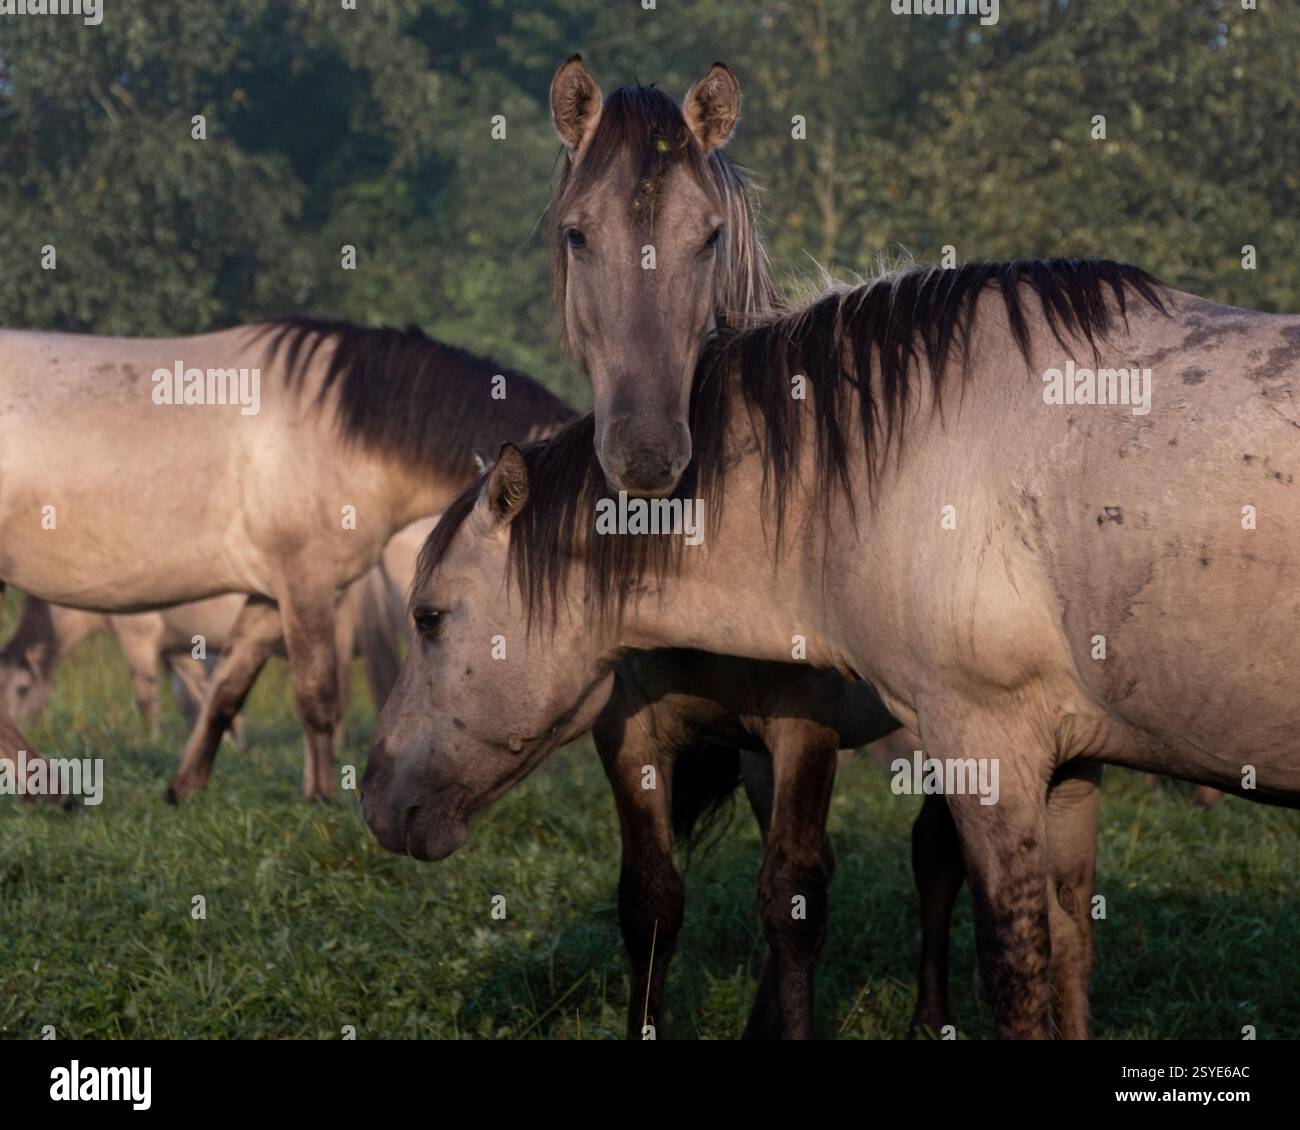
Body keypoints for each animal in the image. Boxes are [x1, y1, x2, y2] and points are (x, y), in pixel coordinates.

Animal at [0, 318, 572, 801]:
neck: (337, 433)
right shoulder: (306, 581)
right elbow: (316, 695)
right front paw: (319, 799)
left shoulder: (267, 593)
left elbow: (226, 690)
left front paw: (184, 789)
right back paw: (50, 790)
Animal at [363, 258, 1300, 1038]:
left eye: (430, 617)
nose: (373, 797)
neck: (918, 454)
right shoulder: (1066, 762)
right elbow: (1067, 956)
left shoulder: (973, 744)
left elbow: (1011, 965)